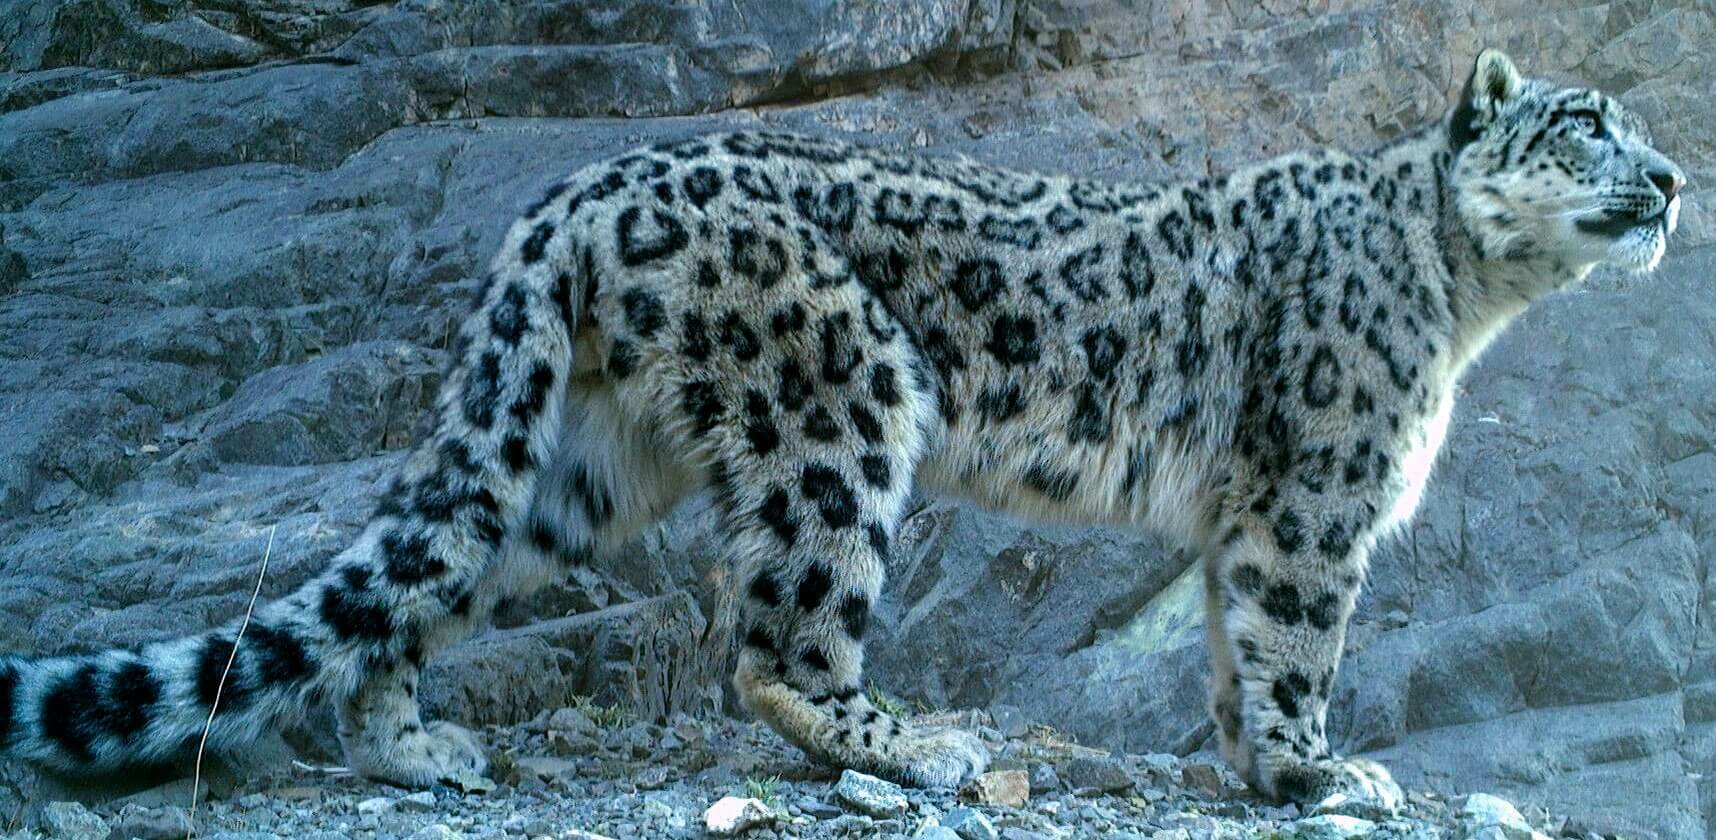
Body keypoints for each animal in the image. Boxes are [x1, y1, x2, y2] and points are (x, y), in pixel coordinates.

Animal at [0, 49, 1686, 812]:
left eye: (1640, 130)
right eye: (1585, 125)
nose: (1674, 179)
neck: (1471, 301)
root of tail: (578, 191)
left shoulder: (1254, 512)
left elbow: (1226, 644)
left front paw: (1254, 768)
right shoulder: (1315, 493)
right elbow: (1290, 640)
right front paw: (1315, 777)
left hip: (582, 462)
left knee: (436, 570)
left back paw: (414, 746)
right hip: (846, 396)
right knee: (778, 640)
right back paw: (916, 740)